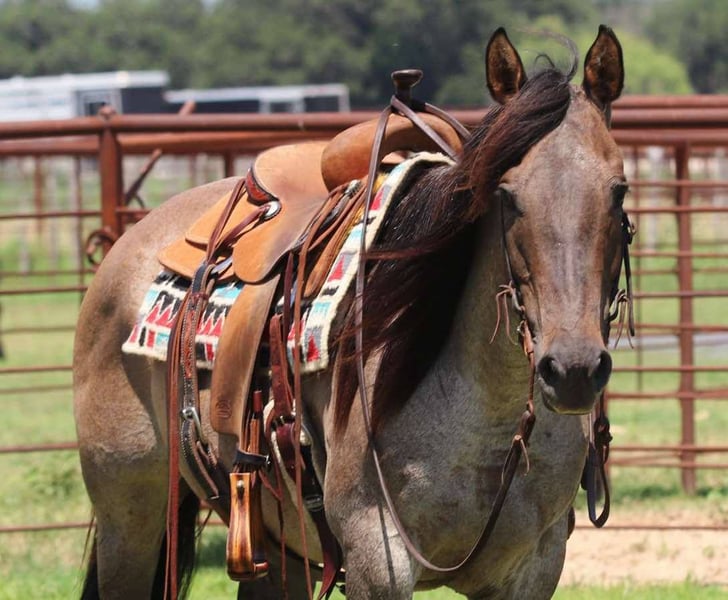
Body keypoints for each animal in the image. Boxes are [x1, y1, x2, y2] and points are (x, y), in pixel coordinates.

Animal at [74, 25, 627, 599]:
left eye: (619, 191)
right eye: (506, 195)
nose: (573, 369)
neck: (488, 428)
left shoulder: (535, 567)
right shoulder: (376, 561)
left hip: (278, 547)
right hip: (128, 523)